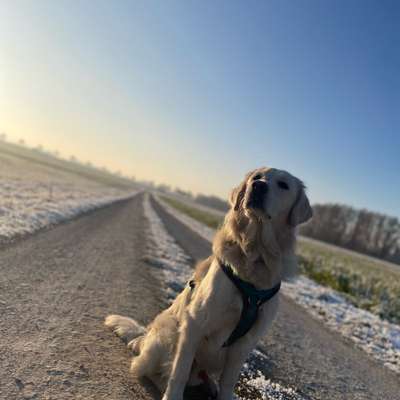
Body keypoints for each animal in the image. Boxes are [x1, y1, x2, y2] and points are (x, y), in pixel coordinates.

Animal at [106, 167, 312, 400]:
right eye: (257, 177)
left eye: (283, 185)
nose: (258, 186)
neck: (255, 255)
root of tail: (143, 336)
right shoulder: (195, 323)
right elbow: (180, 371)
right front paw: (173, 395)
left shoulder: (244, 344)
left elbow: (228, 382)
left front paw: (223, 394)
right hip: (168, 331)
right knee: (145, 368)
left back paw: (210, 384)